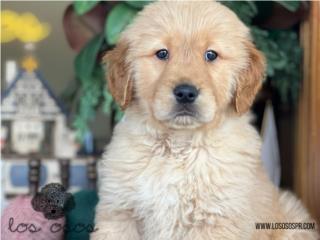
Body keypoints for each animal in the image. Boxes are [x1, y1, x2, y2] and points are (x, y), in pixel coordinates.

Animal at [91, 0, 318, 239]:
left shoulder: (215, 221)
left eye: (211, 55)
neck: (178, 148)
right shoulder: (119, 214)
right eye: (162, 53)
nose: (185, 93)